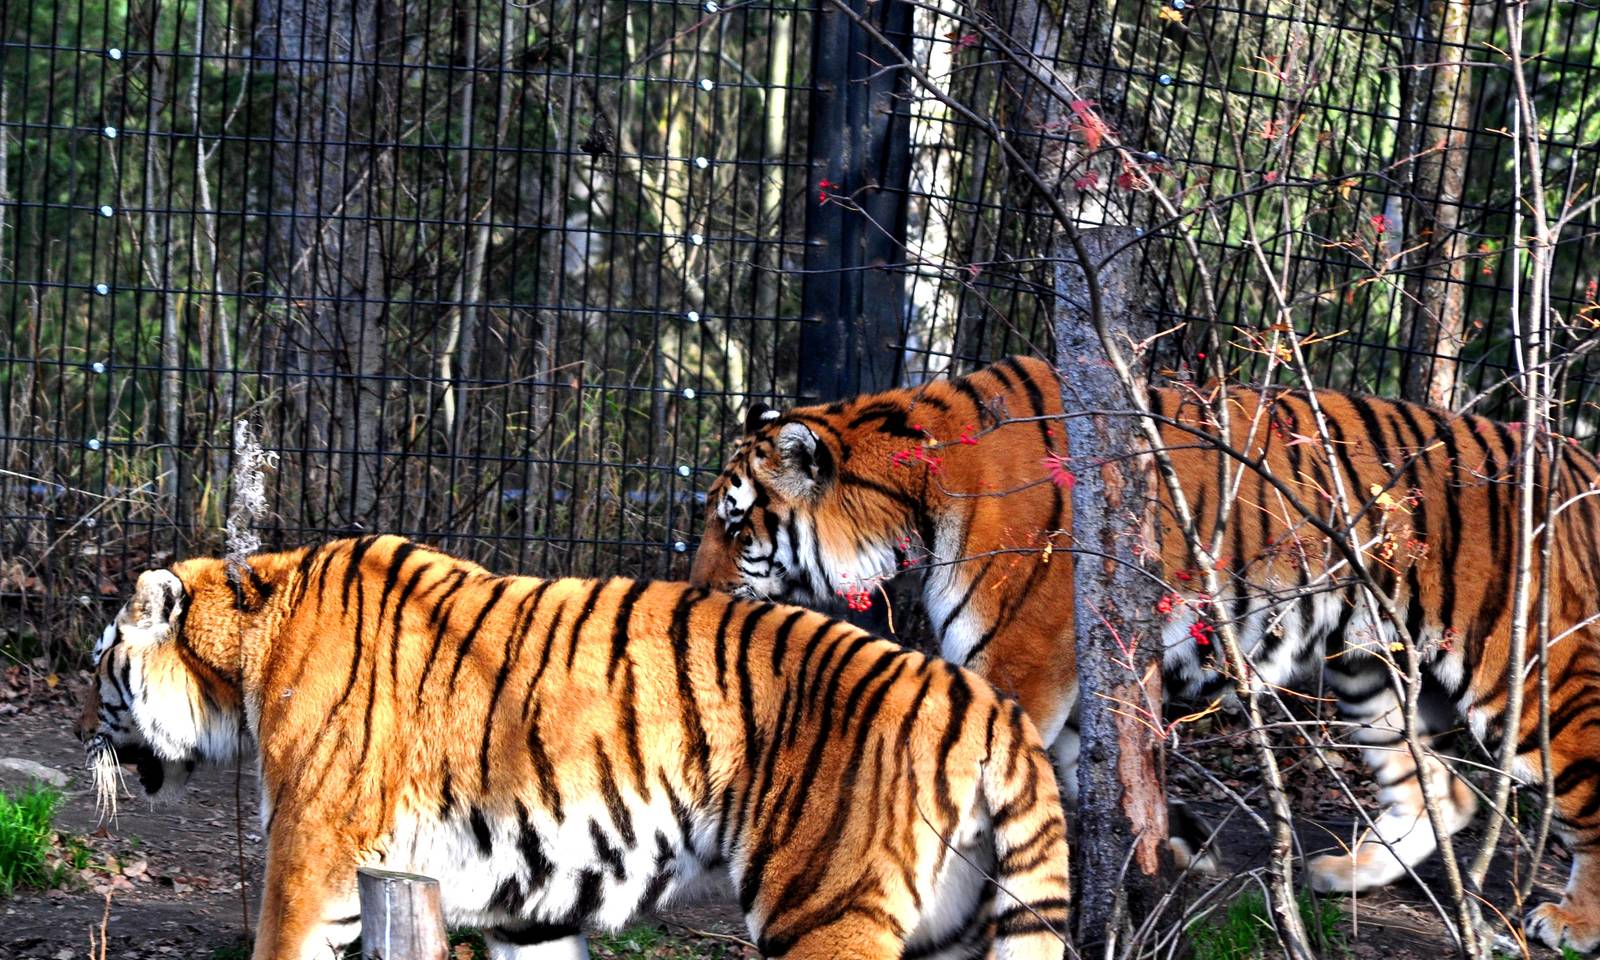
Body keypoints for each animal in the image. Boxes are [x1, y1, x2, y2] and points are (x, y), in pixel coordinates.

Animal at [76, 534, 1070, 960]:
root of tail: (989, 708)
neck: (247, 648)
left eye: (97, 667)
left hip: (828, 909)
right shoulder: (531, 896)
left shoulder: (313, 847)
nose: (85, 735)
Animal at [691, 354, 1600, 952]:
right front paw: (1169, 849)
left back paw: (1569, 923)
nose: (693, 583)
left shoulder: (1019, 662)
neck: (912, 496)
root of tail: (1578, 456)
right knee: (1441, 789)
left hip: (1527, 673)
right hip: (1372, 671)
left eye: (734, 525)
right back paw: (1341, 873)